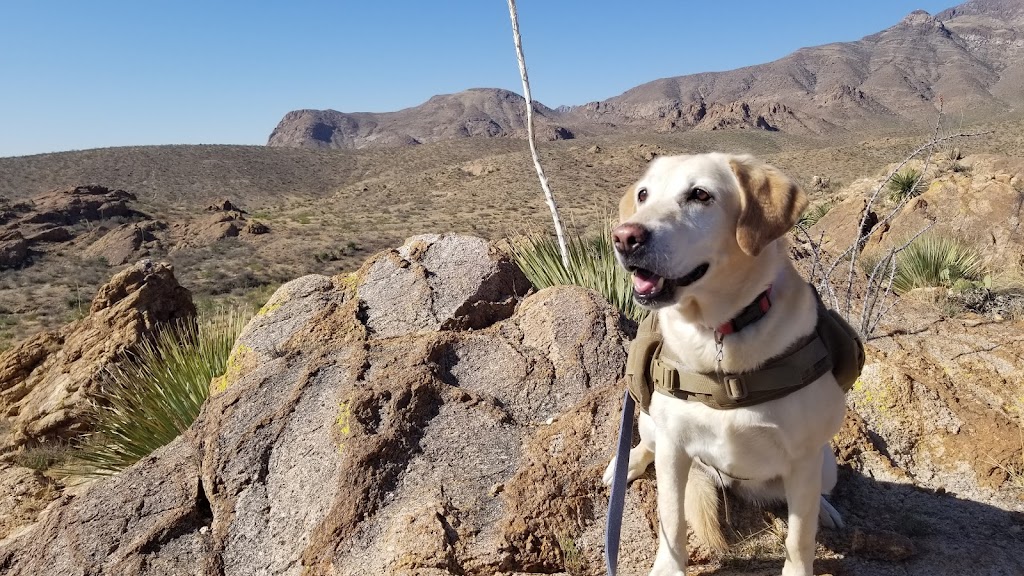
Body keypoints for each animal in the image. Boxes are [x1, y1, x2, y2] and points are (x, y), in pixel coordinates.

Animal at [602, 152, 843, 573]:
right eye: (644, 194)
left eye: (700, 195)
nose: (625, 236)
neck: (718, 333)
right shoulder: (673, 446)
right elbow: (671, 518)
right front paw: (668, 567)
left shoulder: (803, 457)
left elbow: (800, 536)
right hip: (650, 420)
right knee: (646, 445)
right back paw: (623, 465)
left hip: (825, 464)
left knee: (812, 498)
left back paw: (826, 511)